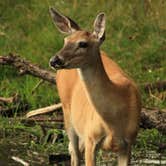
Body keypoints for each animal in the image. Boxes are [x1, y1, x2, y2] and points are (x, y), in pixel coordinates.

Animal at [49, 8, 141, 166]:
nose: (54, 60)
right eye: (65, 41)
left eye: (83, 44)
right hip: (67, 110)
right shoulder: (91, 137)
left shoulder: (128, 143)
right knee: (74, 154)